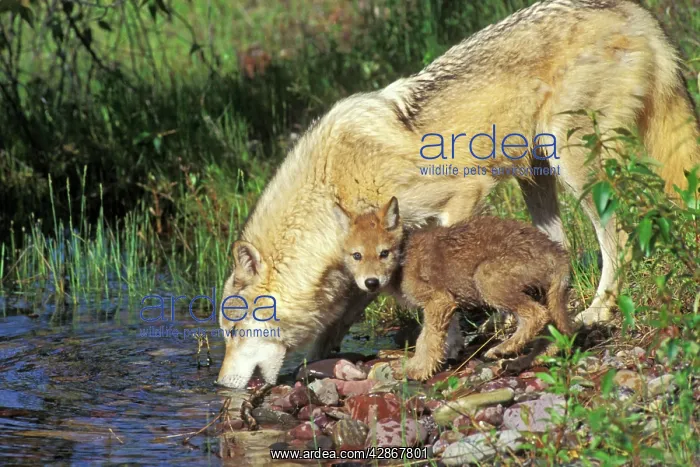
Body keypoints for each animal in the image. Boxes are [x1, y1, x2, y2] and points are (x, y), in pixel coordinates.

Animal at [335, 197, 572, 380]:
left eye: (384, 253)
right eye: (357, 256)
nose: (371, 282)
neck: (403, 257)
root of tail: (555, 251)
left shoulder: (438, 301)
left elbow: (426, 340)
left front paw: (417, 370)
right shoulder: (447, 304)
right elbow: (444, 337)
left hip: (486, 278)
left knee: (536, 315)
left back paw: (503, 349)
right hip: (542, 295)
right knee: (553, 333)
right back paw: (523, 361)